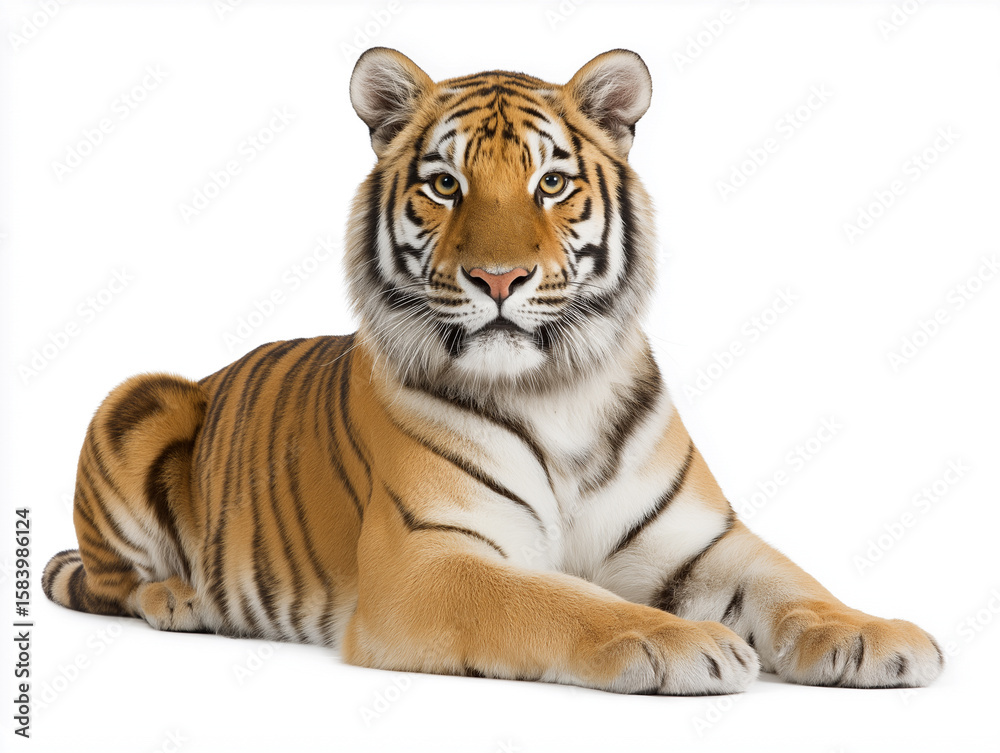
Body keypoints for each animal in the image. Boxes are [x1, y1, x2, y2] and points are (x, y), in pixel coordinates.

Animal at [42, 47, 944, 695]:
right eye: (446, 184)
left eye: (553, 183)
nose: (500, 279)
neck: (557, 391)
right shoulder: (430, 558)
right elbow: (557, 598)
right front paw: (682, 642)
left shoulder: (699, 540)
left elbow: (793, 582)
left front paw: (876, 634)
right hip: (137, 397)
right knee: (114, 582)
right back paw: (183, 598)